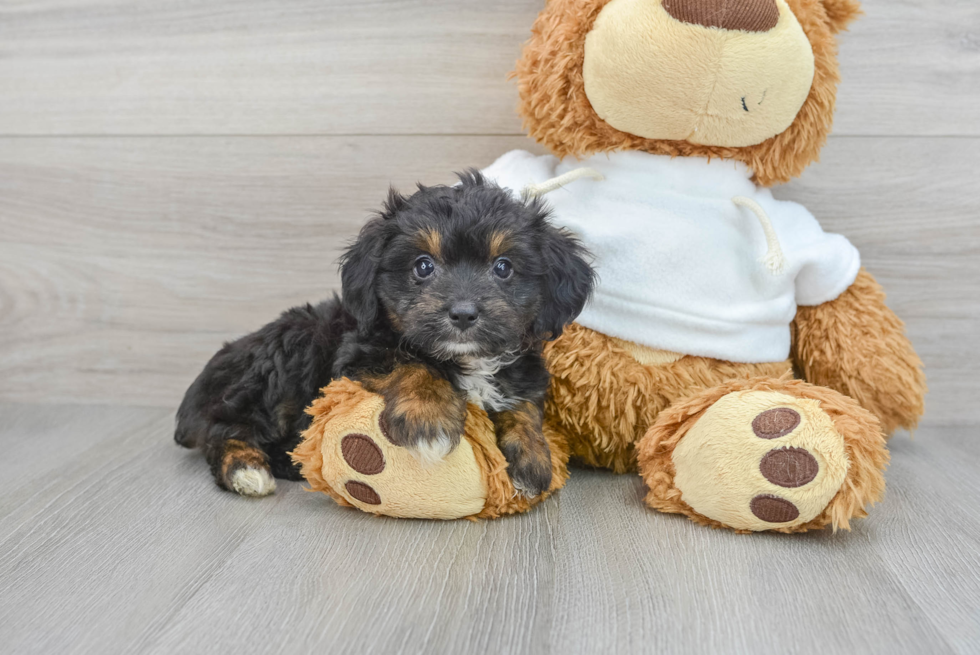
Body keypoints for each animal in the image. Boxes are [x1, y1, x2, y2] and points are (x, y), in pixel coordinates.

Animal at [173, 172, 592, 500]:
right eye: (423, 266)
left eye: (503, 267)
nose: (463, 313)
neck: (466, 358)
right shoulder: (358, 351)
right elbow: (412, 365)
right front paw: (429, 419)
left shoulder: (523, 368)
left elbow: (525, 406)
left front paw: (534, 457)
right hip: (287, 355)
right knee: (227, 428)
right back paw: (246, 469)